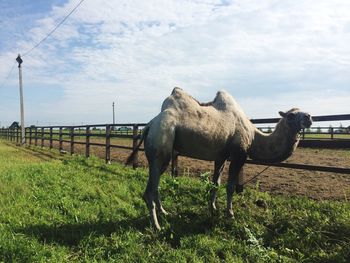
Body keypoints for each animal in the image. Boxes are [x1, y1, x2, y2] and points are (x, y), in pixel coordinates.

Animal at [127, 87, 314, 230]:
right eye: (291, 116)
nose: (309, 117)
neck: (254, 136)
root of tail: (149, 124)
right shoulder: (239, 154)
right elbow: (230, 186)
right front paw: (230, 214)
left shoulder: (221, 157)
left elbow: (215, 183)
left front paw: (213, 209)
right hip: (161, 144)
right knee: (150, 189)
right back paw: (157, 226)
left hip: (164, 152)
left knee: (154, 185)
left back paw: (164, 212)